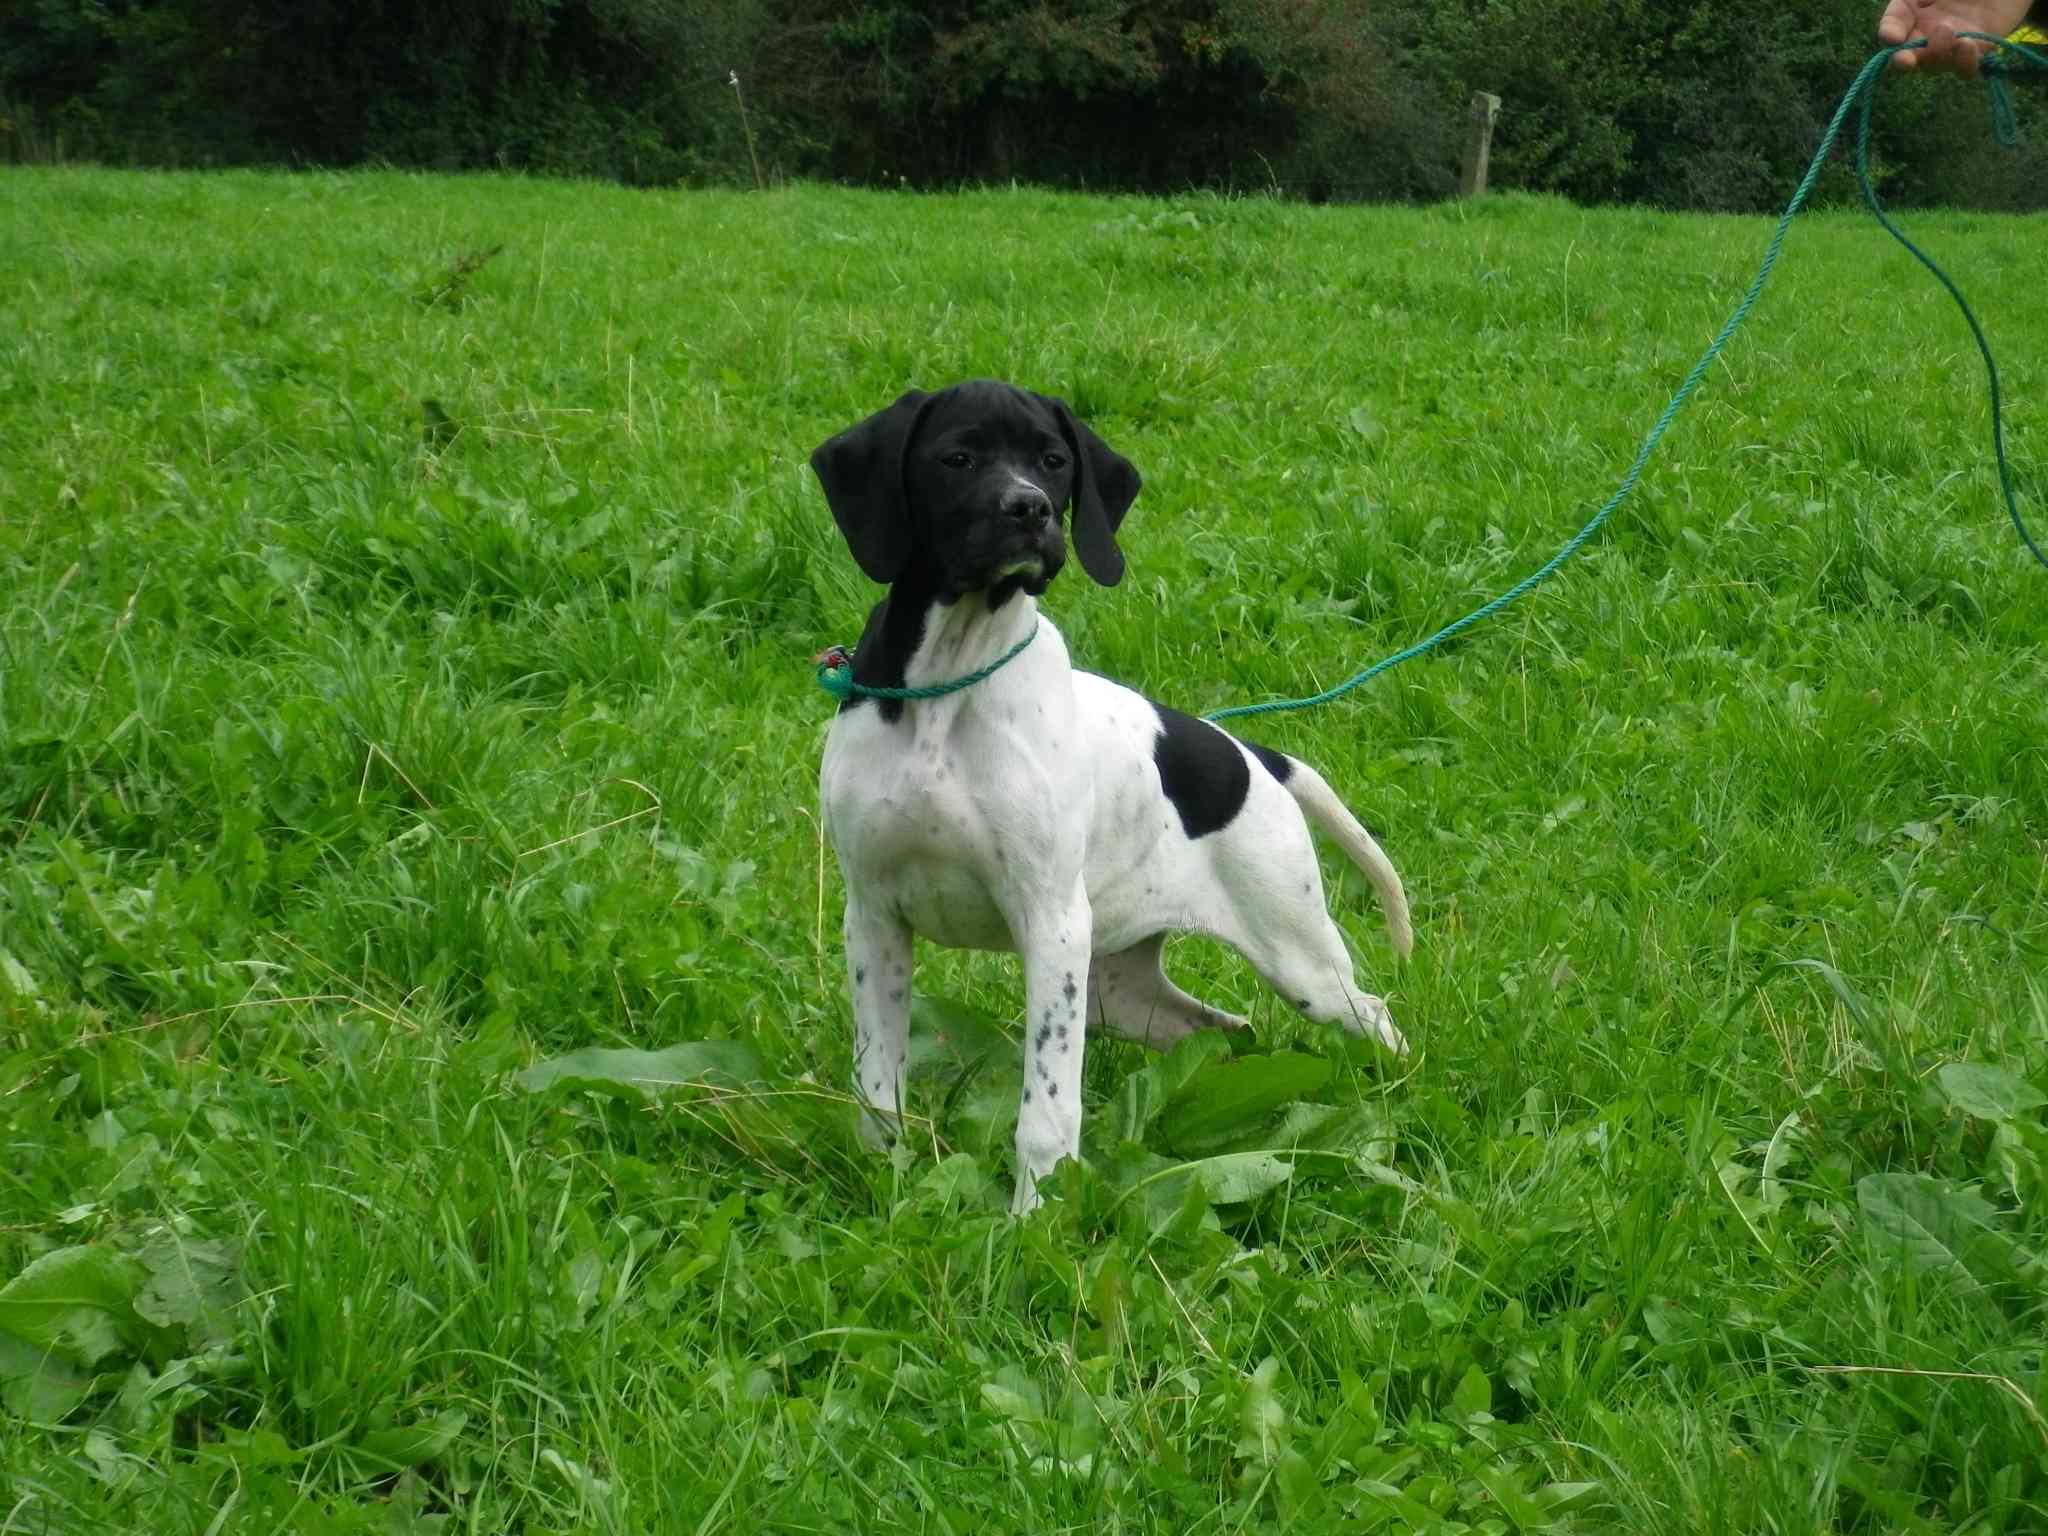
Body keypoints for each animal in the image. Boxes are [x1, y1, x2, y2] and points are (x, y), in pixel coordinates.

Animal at [806, 376, 1417, 1212]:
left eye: (1054, 461)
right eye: (957, 458)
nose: (1029, 509)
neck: (947, 686)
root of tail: (1254, 756)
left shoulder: (1051, 924)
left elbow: (1046, 1109)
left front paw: (1032, 1217)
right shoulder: (874, 917)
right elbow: (877, 1082)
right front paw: (887, 1178)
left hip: (1299, 960)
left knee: (1375, 1014)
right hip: (1119, 990)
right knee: (1225, 1031)